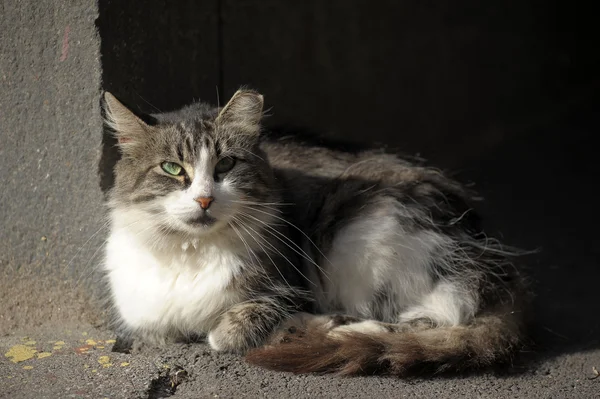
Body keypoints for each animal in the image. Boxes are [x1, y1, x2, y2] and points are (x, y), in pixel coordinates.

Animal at [102, 89, 528, 376]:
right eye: (173, 169)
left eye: (225, 165)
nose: (205, 199)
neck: (193, 251)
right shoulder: (144, 319)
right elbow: (162, 333)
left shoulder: (289, 286)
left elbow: (232, 329)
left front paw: (237, 331)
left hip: (359, 237)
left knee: (434, 318)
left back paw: (333, 332)